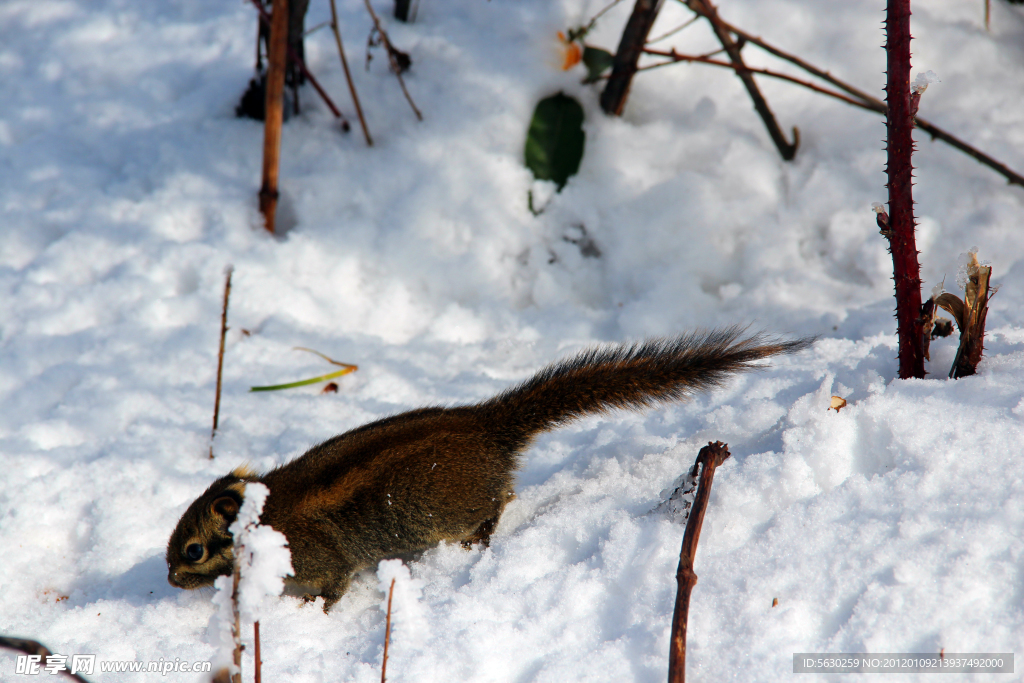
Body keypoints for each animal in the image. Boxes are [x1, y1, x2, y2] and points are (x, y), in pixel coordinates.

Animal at [165, 327, 806, 610]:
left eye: (192, 551)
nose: (169, 578)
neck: (267, 512)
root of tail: (490, 424)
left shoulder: (323, 558)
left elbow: (334, 585)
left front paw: (309, 609)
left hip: (451, 512)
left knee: (500, 505)